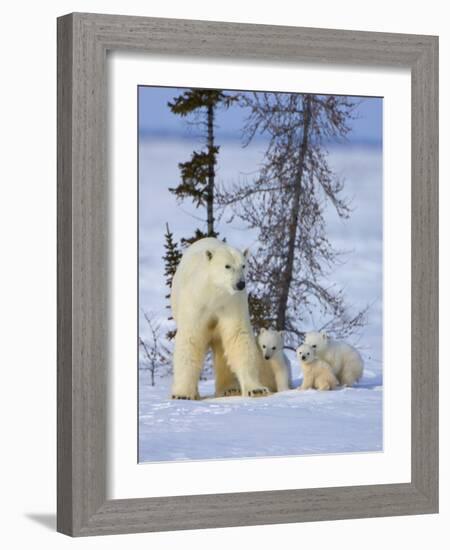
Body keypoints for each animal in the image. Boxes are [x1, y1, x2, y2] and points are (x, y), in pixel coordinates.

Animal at [170, 237, 270, 402]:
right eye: (227, 266)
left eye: (243, 265)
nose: (240, 283)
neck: (214, 294)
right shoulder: (196, 303)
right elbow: (191, 339)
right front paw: (182, 394)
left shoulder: (231, 303)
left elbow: (237, 335)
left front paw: (256, 389)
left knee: (222, 349)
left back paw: (229, 389)